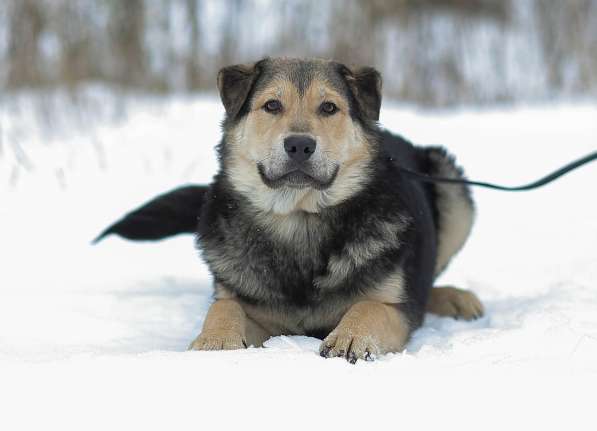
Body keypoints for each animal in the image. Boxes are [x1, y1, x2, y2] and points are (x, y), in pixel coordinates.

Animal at [95, 55, 482, 362]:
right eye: (271, 106)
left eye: (328, 108)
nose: (299, 145)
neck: (300, 217)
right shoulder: (254, 309)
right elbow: (223, 305)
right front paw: (215, 340)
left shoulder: (396, 308)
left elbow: (370, 306)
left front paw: (351, 336)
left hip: (451, 185)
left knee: (427, 282)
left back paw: (456, 299)